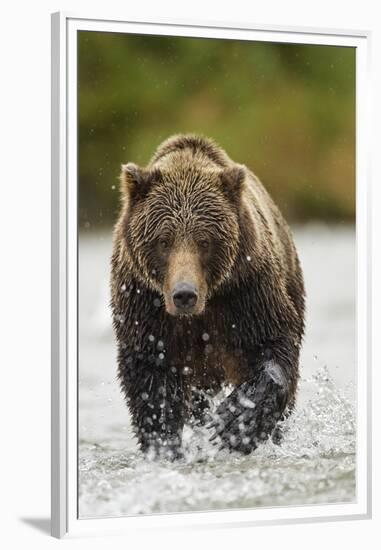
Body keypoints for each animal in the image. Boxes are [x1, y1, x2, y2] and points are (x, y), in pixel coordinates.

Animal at [110, 135, 302, 462]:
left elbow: (274, 344)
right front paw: (164, 444)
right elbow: (151, 380)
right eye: (164, 240)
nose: (184, 294)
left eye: (204, 241)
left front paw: (236, 422)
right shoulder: (144, 306)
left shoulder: (247, 291)